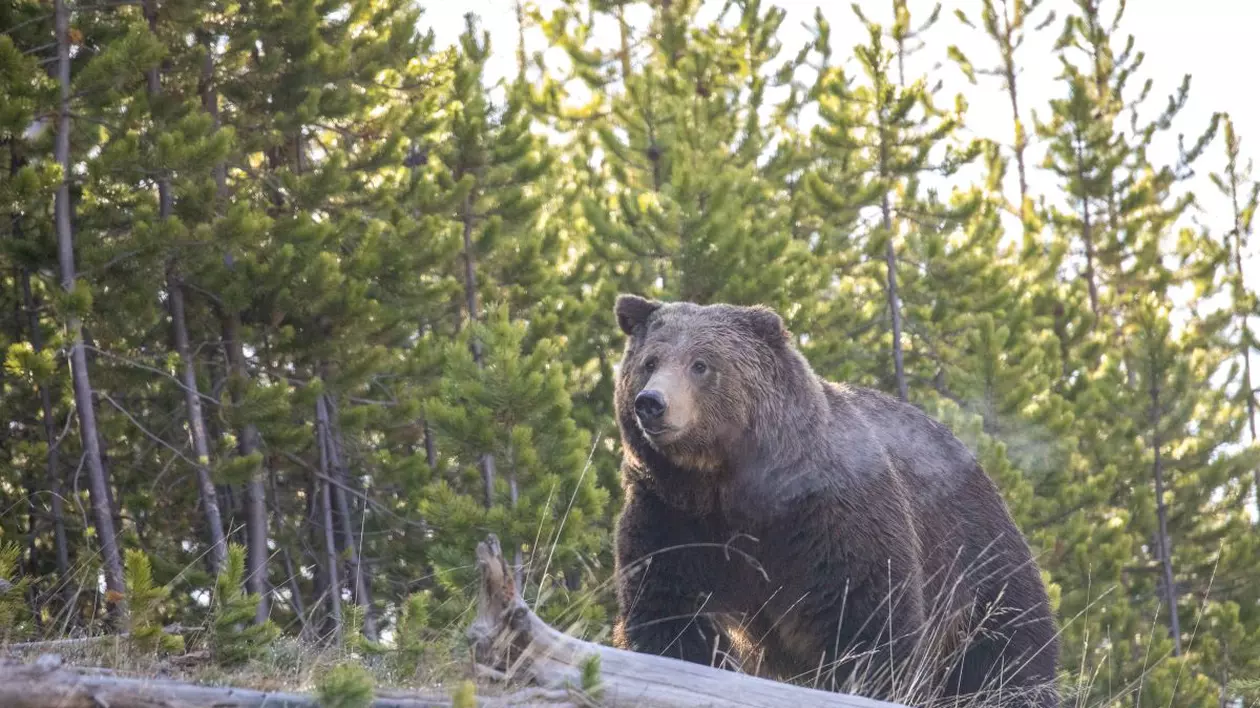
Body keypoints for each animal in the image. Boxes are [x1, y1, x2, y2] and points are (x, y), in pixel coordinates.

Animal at [604, 294, 1058, 705]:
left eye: (701, 364)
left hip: (977, 556)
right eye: (649, 362)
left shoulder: (828, 515)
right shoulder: (672, 515)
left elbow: (865, 616)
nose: (652, 403)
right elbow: (669, 608)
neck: (727, 486)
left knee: (1008, 650)